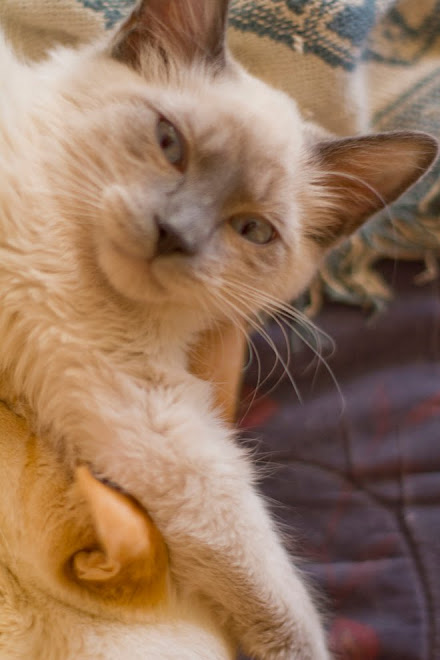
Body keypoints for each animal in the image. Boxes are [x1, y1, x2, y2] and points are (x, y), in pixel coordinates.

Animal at [0, 2, 436, 656]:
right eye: (168, 143)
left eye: (252, 231)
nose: (172, 234)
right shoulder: (129, 391)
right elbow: (270, 577)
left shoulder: (130, 392)